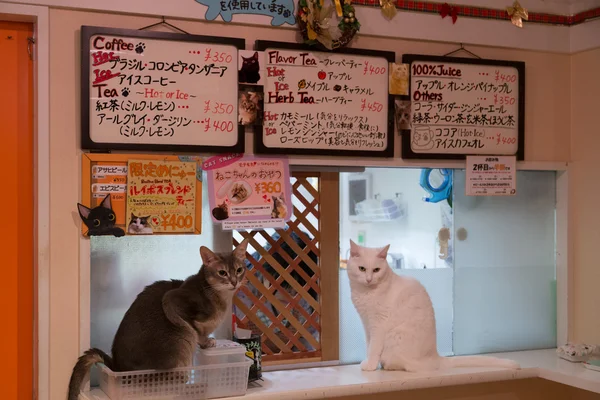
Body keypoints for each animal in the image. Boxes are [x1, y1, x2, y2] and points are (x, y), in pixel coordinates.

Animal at [68, 241, 248, 400]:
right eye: (222, 273)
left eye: (239, 270)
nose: (234, 282)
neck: (220, 297)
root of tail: (118, 369)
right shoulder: (172, 302)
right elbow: (196, 330)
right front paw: (206, 342)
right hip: (182, 341)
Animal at [346, 238, 520, 372]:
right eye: (362, 269)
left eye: (376, 270)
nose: (369, 279)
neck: (366, 292)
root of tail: (435, 356)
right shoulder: (367, 324)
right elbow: (369, 345)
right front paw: (371, 362)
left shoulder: (378, 325)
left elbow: (374, 347)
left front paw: (370, 365)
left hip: (396, 338)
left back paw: (389, 365)